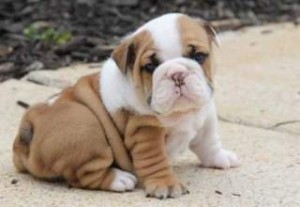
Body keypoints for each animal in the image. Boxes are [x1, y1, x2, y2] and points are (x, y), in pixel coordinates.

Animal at [13, 12, 239, 199]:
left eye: (198, 56)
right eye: (151, 66)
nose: (177, 74)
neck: (182, 113)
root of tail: (28, 127)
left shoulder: (206, 115)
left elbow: (209, 142)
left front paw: (220, 158)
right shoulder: (145, 132)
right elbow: (156, 160)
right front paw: (165, 184)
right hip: (86, 126)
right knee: (84, 176)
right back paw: (119, 179)